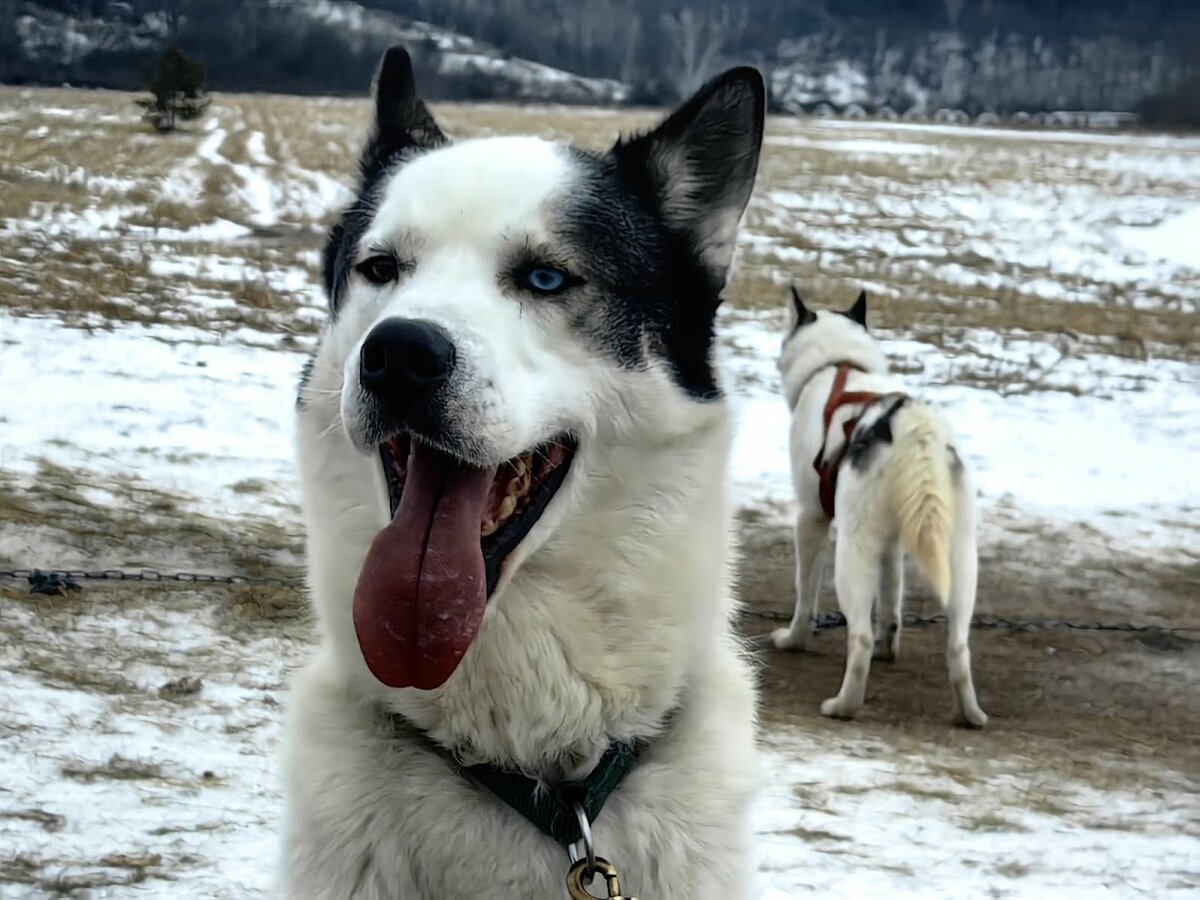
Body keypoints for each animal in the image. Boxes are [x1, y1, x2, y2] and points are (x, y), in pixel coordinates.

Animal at [772, 289, 988, 734]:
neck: (840, 366)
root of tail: (913, 427)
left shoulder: (811, 520)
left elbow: (805, 595)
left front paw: (793, 640)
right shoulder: (891, 545)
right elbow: (891, 605)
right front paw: (890, 647)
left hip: (853, 552)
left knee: (859, 639)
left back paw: (843, 705)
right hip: (959, 559)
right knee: (958, 646)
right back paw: (969, 713)